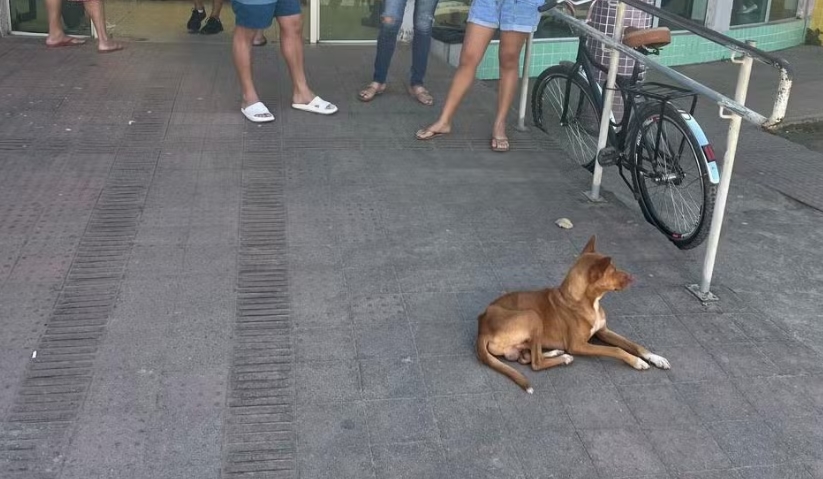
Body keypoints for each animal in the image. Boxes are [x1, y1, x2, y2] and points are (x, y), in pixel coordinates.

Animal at [476, 236, 668, 394]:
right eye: (613, 270)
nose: (632, 277)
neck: (587, 302)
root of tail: (482, 327)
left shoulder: (603, 331)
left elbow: (634, 344)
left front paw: (656, 358)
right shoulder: (578, 345)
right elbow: (616, 349)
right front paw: (637, 362)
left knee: (527, 357)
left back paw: (555, 352)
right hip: (532, 316)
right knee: (536, 362)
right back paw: (564, 357)